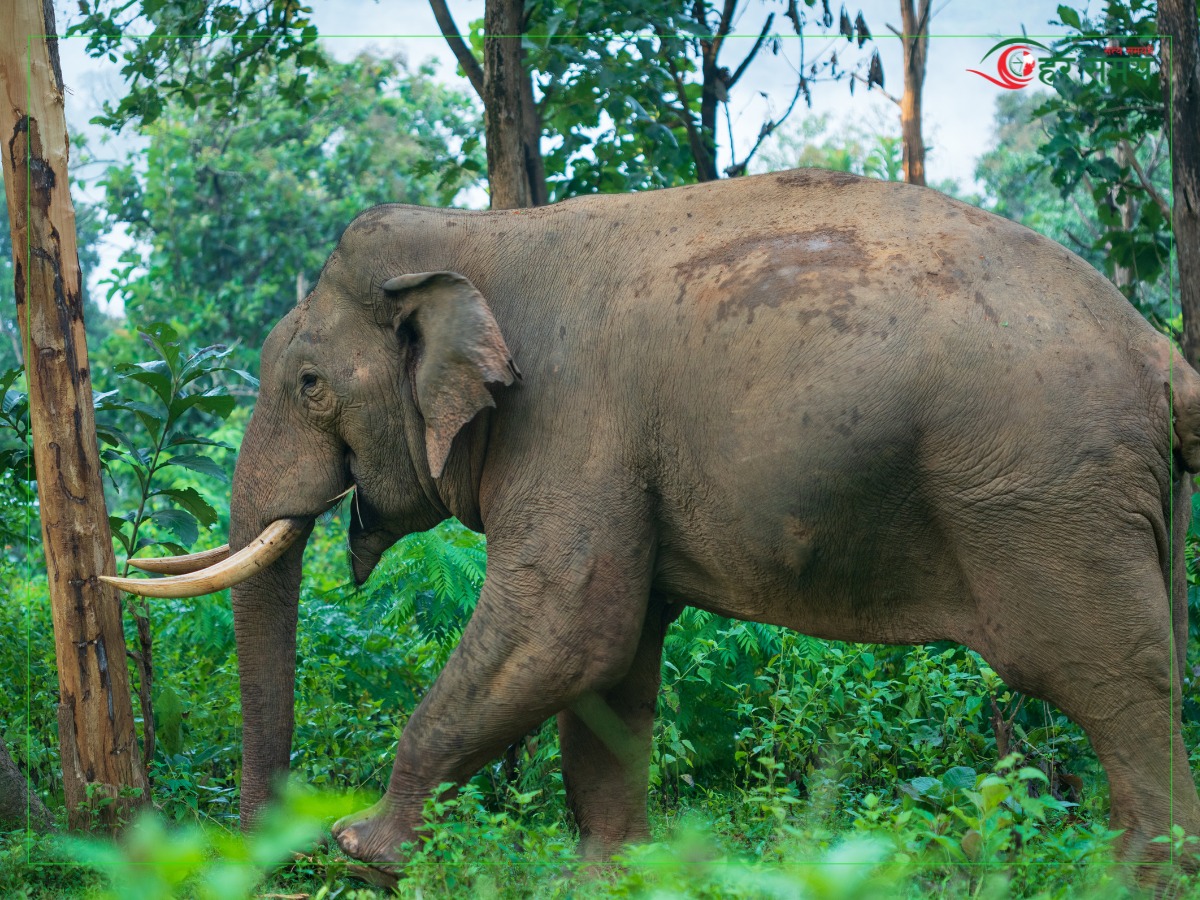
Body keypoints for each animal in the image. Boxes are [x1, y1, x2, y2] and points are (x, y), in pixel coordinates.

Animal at [105, 169, 1200, 883]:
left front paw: (364, 854)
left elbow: (559, 632)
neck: (482, 234)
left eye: (308, 383)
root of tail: (1162, 355)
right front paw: (609, 878)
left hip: (1046, 497)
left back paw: (1137, 880)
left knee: (1114, 678)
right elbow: (611, 659)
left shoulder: (573, 422)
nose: (264, 855)